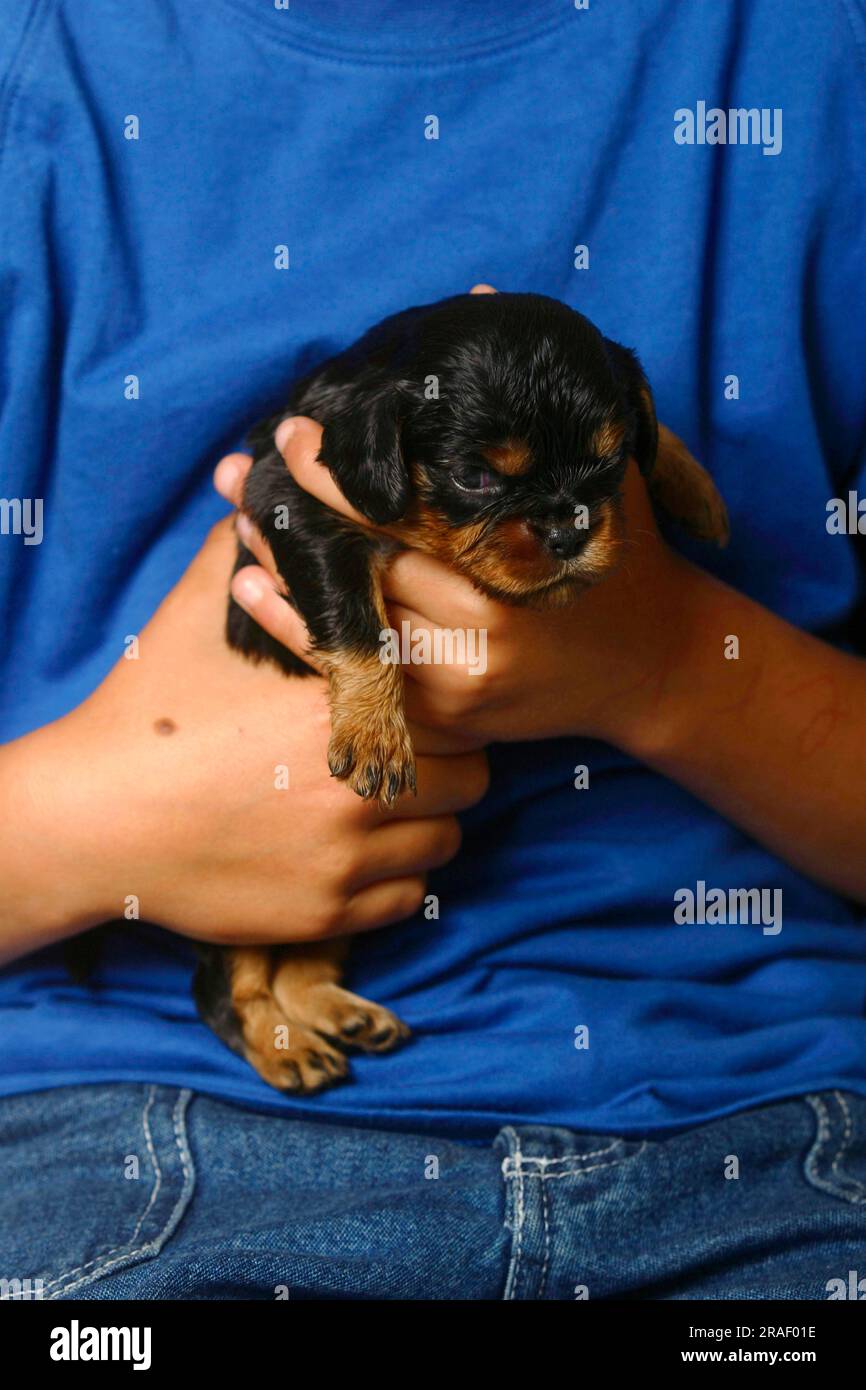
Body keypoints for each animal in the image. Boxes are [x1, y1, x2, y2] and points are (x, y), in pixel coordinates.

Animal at [191, 290, 733, 1095]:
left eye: (609, 460)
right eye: (475, 479)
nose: (568, 527)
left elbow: (659, 434)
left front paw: (694, 485)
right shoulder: (298, 504)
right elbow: (358, 619)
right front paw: (373, 732)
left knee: (303, 960)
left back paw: (337, 1014)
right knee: (229, 987)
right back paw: (283, 1048)